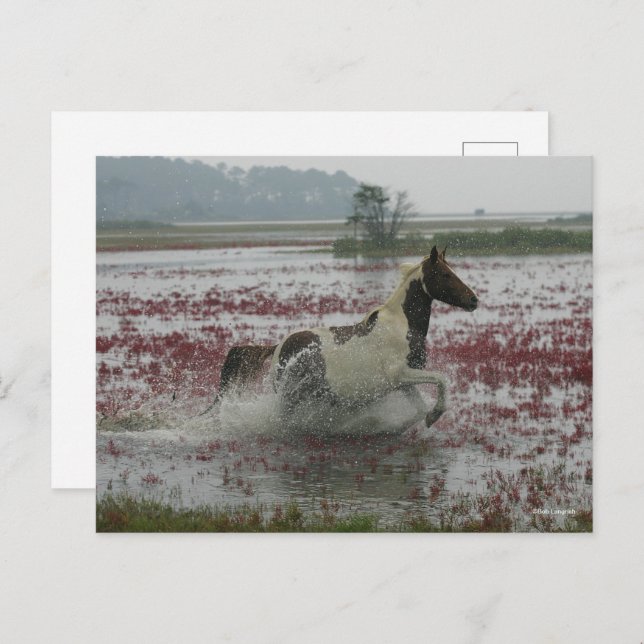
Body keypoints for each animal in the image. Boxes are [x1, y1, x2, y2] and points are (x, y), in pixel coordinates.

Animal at [213, 245, 477, 429]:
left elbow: (420, 409)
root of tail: (279, 347)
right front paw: (432, 416)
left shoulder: (404, 383)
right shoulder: (400, 373)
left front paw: (420, 420)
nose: (473, 300)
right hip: (290, 398)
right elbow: (441, 380)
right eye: (444, 274)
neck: (402, 326)